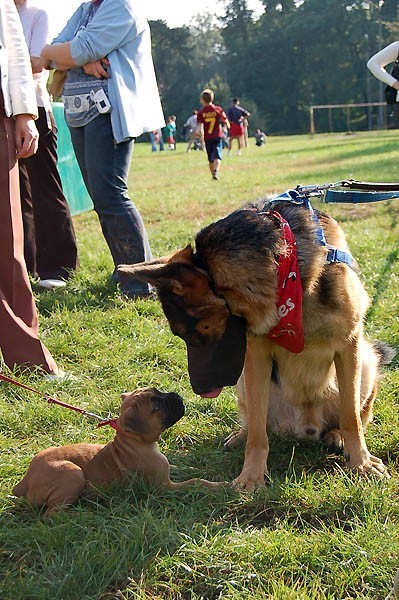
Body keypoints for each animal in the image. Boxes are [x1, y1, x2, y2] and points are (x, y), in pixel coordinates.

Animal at [12, 390, 220, 516]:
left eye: (159, 391)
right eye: (156, 406)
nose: (176, 396)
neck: (135, 441)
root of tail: (24, 482)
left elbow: (180, 467)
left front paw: (196, 466)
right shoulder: (164, 487)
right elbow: (195, 482)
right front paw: (219, 485)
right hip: (73, 474)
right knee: (52, 514)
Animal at [120, 199, 392, 490]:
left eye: (197, 334)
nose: (195, 391)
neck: (286, 270)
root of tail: (305, 428)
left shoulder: (348, 344)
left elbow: (351, 417)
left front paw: (361, 463)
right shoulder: (256, 356)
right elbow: (258, 435)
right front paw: (251, 476)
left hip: (366, 360)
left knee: (353, 413)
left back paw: (336, 435)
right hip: (245, 378)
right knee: (254, 420)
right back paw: (241, 434)